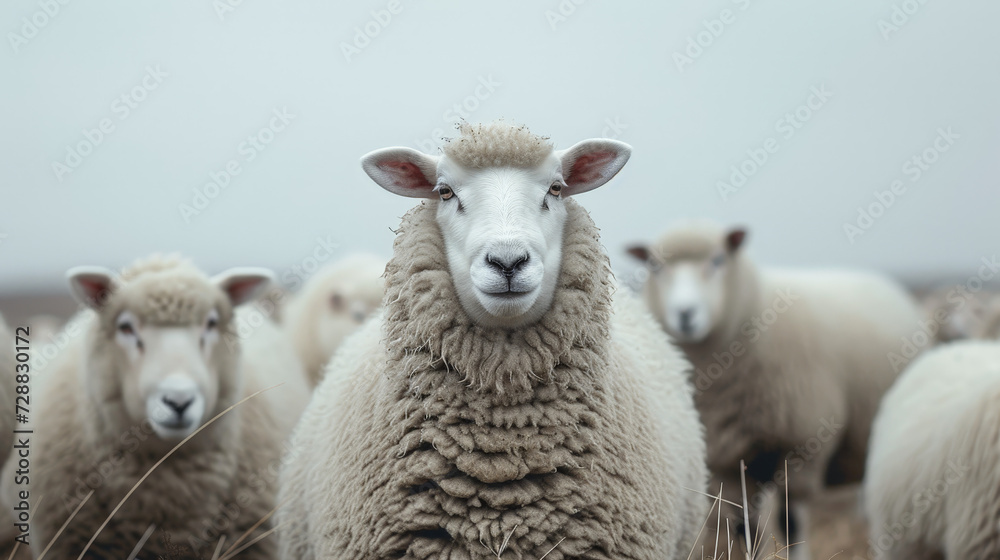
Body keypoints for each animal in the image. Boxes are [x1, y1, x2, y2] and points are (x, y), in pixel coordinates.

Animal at [627, 221, 923, 551]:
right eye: (654, 266)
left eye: (718, 260)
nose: (685, 313)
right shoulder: (726, 460)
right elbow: (743, 523)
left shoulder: (803, 446)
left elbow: (791, 522)